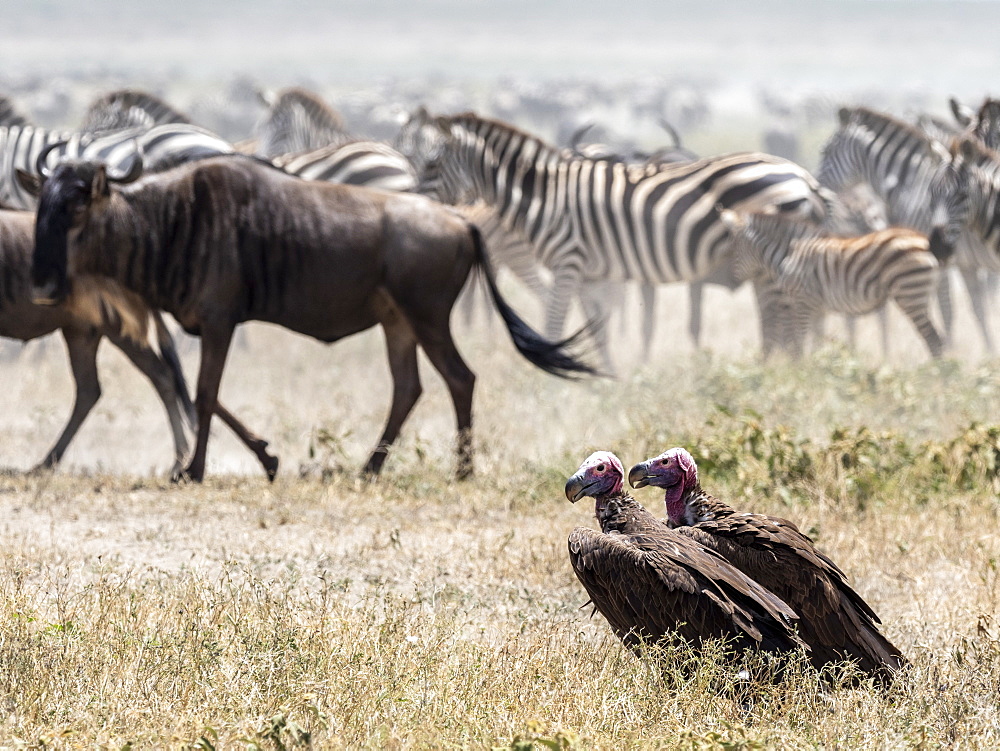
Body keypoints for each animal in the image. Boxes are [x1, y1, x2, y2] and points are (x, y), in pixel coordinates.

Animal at [396, 108, 828, 362]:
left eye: (432, 163)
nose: (410, 202)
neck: (546, 199)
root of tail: (801, 175)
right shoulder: (593, 273)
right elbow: (599, 328)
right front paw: (607, 378)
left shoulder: (568, 263)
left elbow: (555, 322)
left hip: (769, 261)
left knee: (783, 323)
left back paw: (780, 372)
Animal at [724, 210, 948, 360]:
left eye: (734, 248)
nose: (732, 282)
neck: (789, 255)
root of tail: (924, 240)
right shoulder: (818, 308)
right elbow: (815, 342)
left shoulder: (804, 301)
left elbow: (799, 343)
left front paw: (800, 375)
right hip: (917, 295)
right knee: (938, 339)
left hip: (910, 294)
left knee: (933, 340)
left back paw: (938, 381)